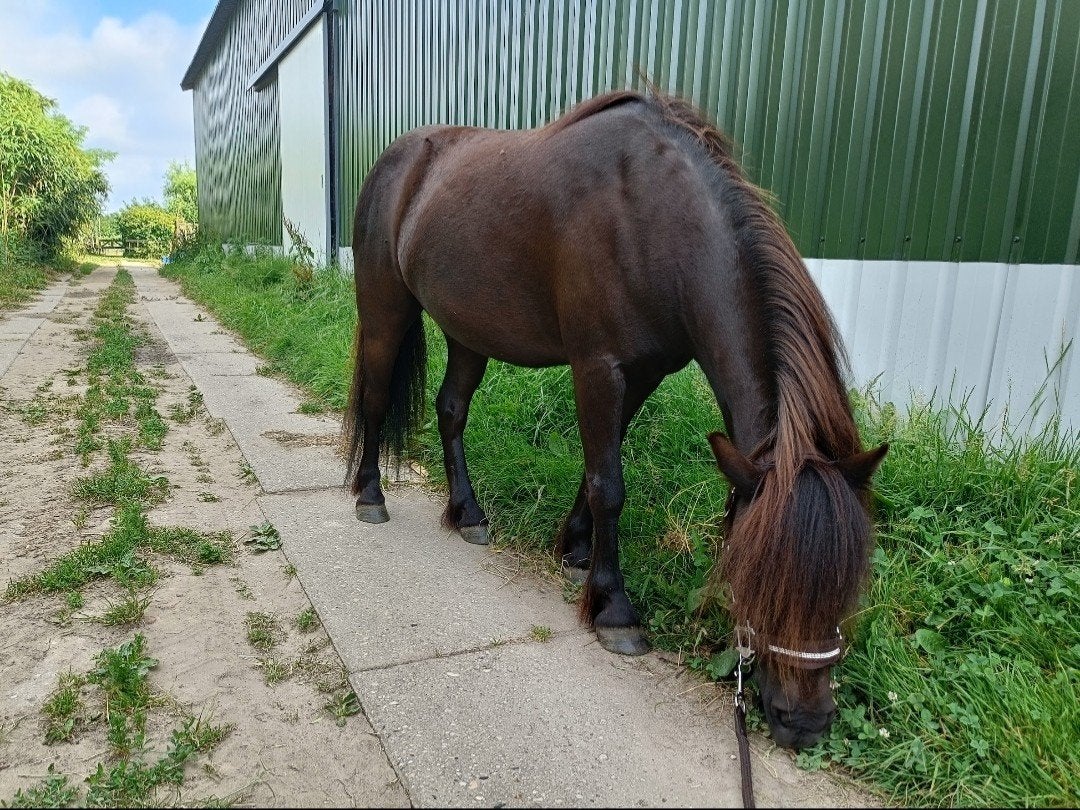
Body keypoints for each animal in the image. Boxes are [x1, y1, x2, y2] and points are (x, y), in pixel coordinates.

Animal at [343, 89, 887, 749]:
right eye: (758, 575)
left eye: (848, 582)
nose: (805, 723)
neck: (653, 217)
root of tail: (397, 160)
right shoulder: (598, 367)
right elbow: (610, 484)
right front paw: (614, 609)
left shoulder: (644, 373)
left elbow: (596, 469)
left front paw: (575, 548)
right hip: (385, 308)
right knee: (375, 401)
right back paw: (370, 495)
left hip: (468, 330)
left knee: (451, 411)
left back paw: (467, 513)